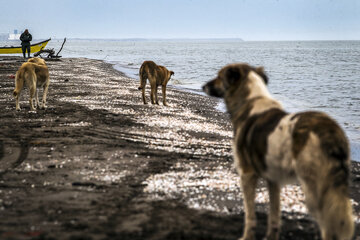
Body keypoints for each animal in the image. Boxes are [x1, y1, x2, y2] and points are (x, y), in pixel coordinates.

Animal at [202, 62, 354, 239]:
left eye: (219, 76)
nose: (203, 86)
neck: (250, 100)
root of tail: (330, 131)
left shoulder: (247, 174)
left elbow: (250, 214)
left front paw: (246, 236)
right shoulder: (273, 178)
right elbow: (274, 214)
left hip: (316, 189)